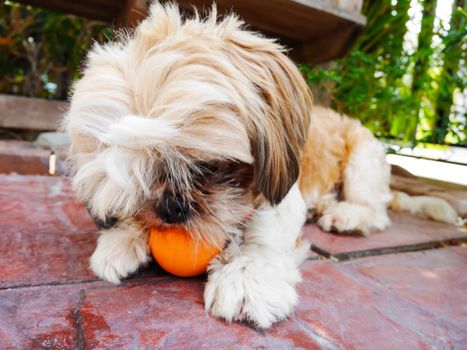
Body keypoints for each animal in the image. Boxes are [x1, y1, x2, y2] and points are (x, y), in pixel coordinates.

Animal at [63, 2, 460, 328]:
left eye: (207, 167)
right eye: (138, 185)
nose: (171, 208)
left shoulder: (280, 194)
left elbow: (264, 233)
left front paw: (246, 274)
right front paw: (123, 237)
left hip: (363, 157)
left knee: (375, 209)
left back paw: (347, 214)